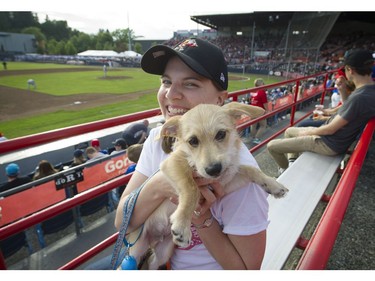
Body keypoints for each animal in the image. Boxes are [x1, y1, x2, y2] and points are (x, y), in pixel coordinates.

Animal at [128, 101, 290, 268]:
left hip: (163, 252)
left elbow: (249, 169)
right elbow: (192, 189)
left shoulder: (224, 182)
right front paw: (182, 223)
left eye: (221, 134)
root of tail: (154, 239)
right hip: (136, 249)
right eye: (193, 141)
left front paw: (273, 185)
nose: (213, 169)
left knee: (151, 263)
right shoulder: (172, 164)